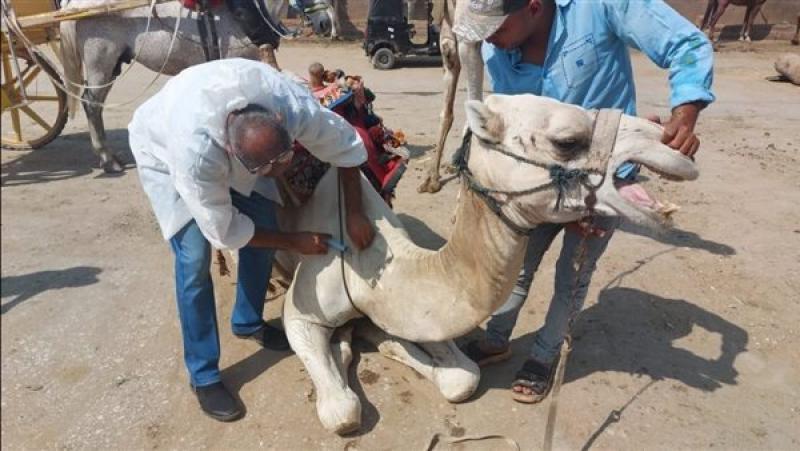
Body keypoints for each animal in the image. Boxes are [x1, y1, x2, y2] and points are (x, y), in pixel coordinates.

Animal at [60, 0, 334, 173]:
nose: (325, 24)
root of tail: (74, 6)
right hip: (100, 63)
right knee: (92, 105)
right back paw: (108, 160)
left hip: (113, 64)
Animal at [266, 94, 696, 434]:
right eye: (567, 141)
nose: (676, 143)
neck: (371, 261)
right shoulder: (303, 313)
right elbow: (342, 412)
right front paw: (345, 355)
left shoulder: (412, 314)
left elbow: (463, 377)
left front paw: (381, 341)